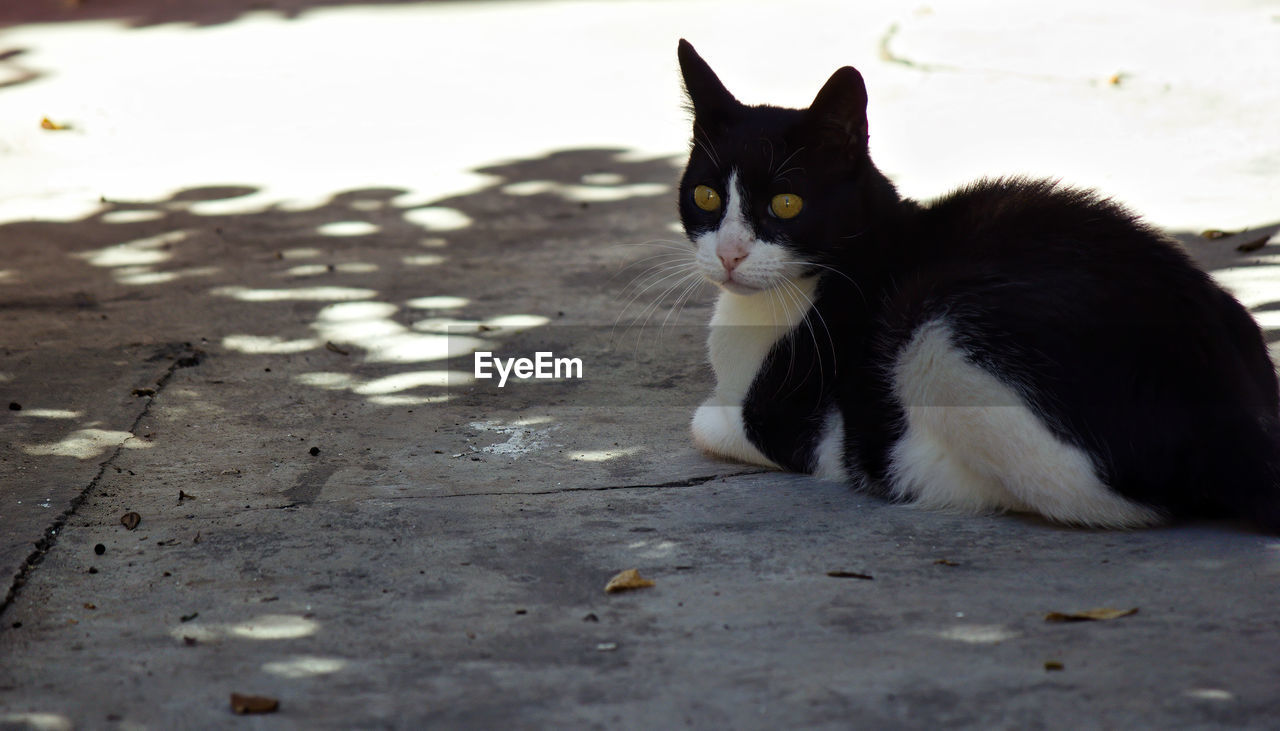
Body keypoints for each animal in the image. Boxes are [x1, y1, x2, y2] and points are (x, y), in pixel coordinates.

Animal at [675, 38, 1274, 532]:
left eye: (786, 204)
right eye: (705, 196)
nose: (729, 254)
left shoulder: (793, 425)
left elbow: (704, 423)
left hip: (933, 323)